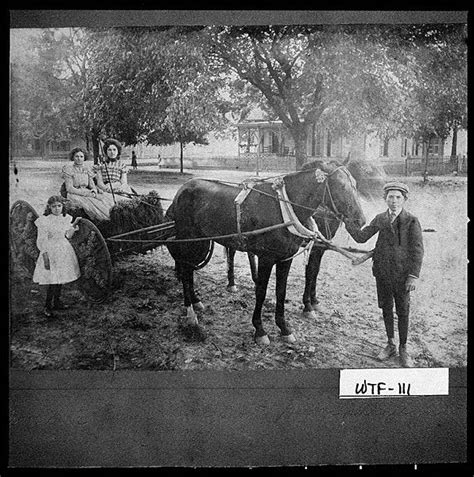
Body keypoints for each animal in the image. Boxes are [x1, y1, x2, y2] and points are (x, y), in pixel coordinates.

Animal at [166, 162, 366, 344]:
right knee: (185, 270)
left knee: (189, 270)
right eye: (341, 186)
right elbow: (261, 291)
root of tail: (182, 189)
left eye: (355, 184)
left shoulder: (286, 258)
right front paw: (260, 329)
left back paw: (196, 301)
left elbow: (282, 291)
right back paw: (190, 313)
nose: (361, 221)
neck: (283, 209)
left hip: (201, 242)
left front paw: (284, 328)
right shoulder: (266, 259)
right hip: (189, 241)